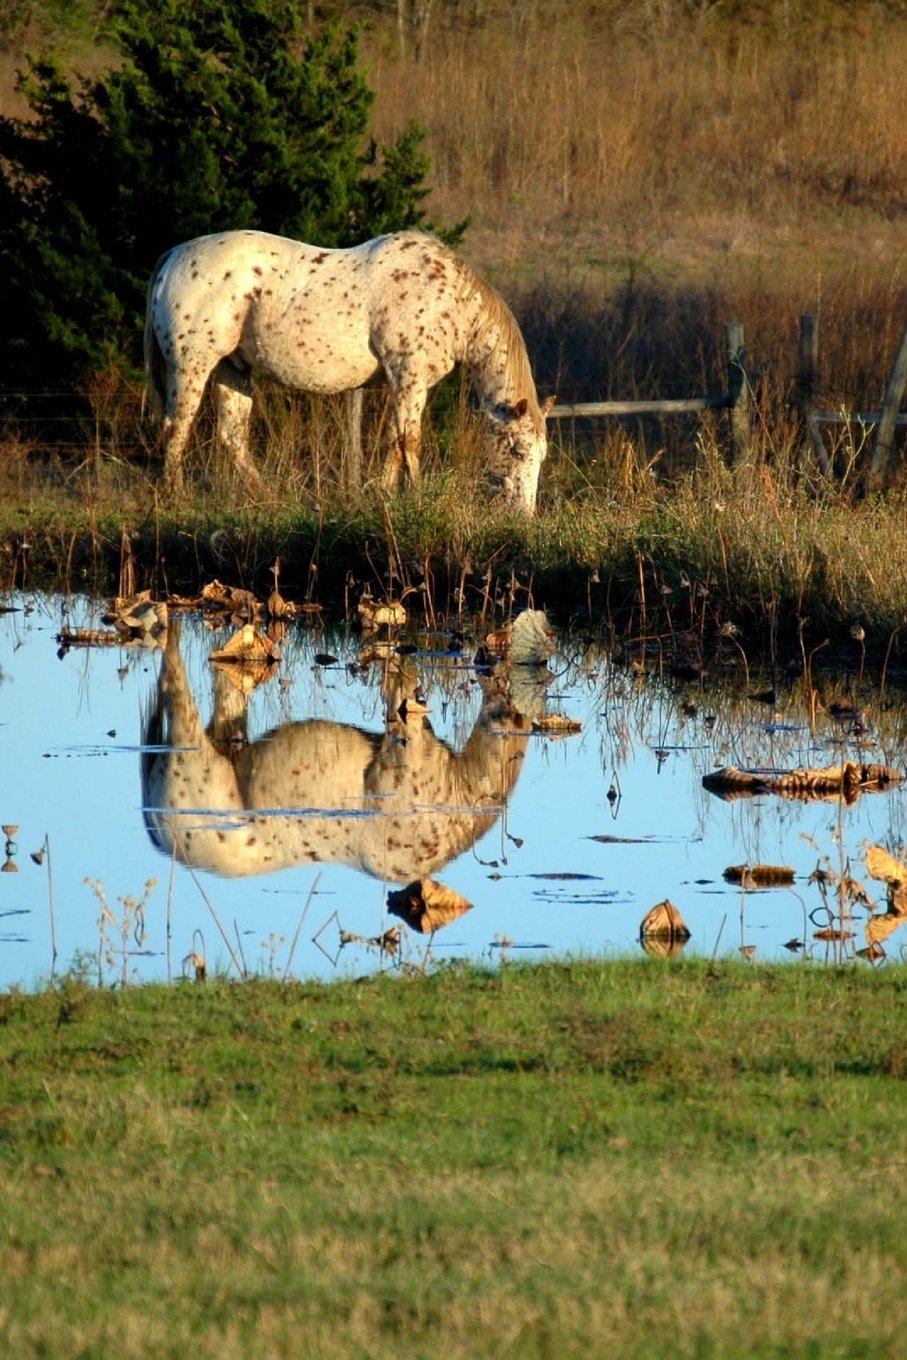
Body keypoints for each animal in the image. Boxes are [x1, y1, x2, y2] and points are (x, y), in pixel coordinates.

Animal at [144, 228, 555, 508]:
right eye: (517, 450)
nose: (524, 514)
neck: (448, 300)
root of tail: (172, 257)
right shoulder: (410, 377)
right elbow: (410, 442)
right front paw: (417, 498)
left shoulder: (400, 384)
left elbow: (393, 442)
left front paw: (385, 497)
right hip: (192, 366)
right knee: (176, 429)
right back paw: (175, 497)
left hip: (233, 369)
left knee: (232, 436)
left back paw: (268, 499)